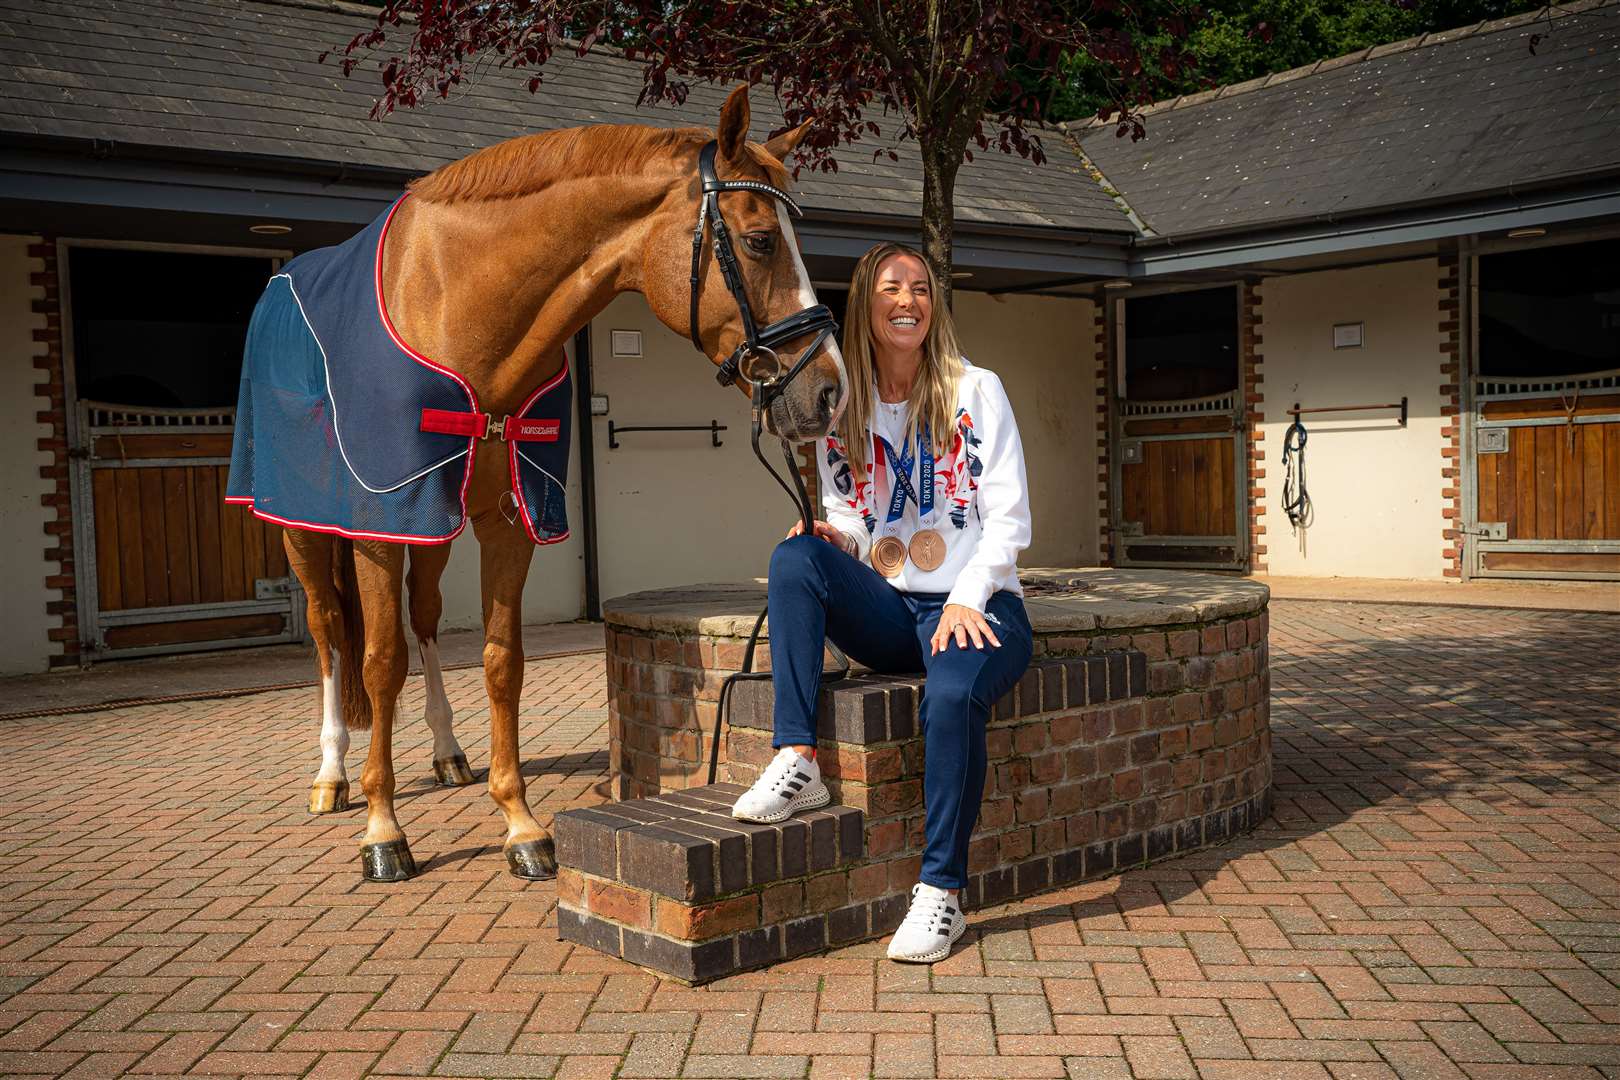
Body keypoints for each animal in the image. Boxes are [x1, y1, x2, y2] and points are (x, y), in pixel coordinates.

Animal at [288, 88, 848, 880]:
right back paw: (333, 774)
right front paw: (382, 831)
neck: (457, 309)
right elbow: (379, 662)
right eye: (762, 239)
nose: (829, 391)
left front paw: (520, 824)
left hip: (433, 532)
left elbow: (500, 661)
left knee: (425, 620)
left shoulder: (507, 520)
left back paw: (447, 752)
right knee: (330, 632)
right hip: (303, 535)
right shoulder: (379, 527)